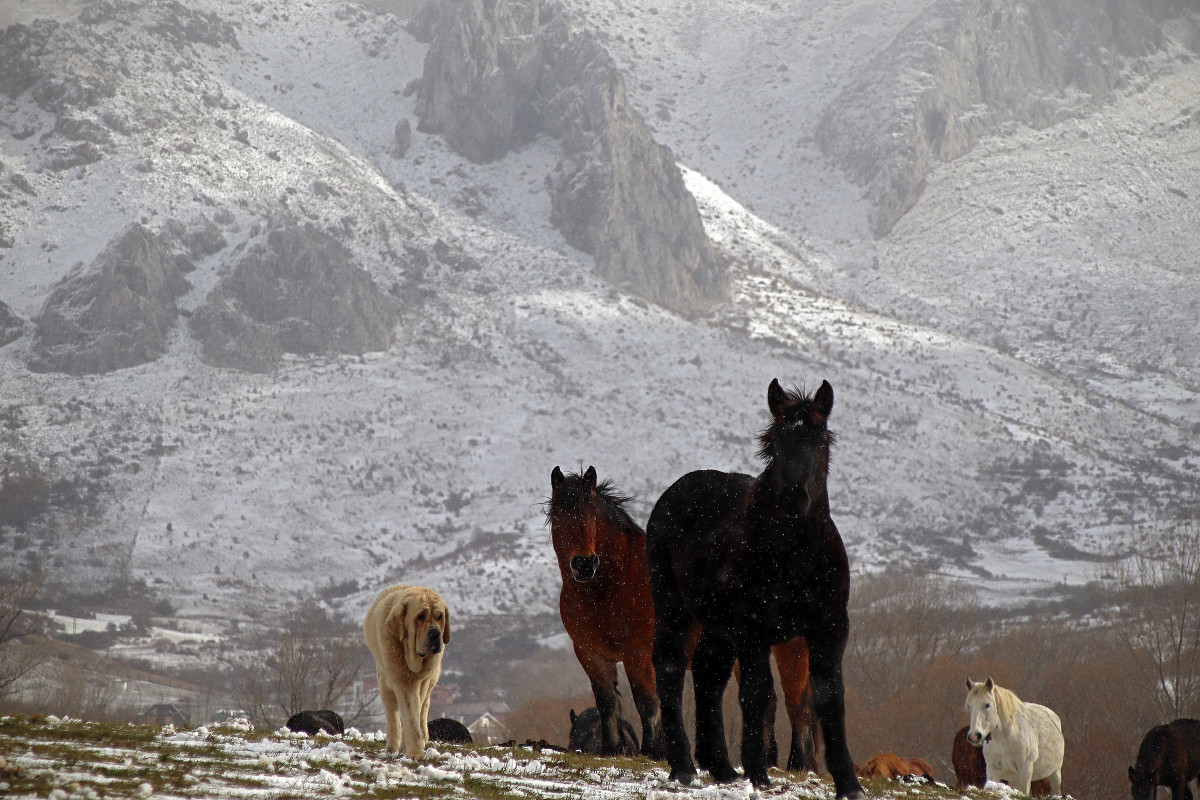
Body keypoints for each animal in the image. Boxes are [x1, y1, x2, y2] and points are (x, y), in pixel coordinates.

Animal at [364, 582, 451, 758]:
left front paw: (413, 748)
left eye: (440, 617)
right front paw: (414, 752)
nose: (435, 633)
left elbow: (415, 715)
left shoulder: (421, 682)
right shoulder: (402, 681)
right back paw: (392, 747)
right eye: (420, 616)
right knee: (392, 714)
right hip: (385, 682)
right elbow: (409, 716)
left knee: (423, 707)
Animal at [547, 470, 816, 767]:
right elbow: (607, 704)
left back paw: (799, 765)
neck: (608, 587)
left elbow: (647, 702)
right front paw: (612, 750)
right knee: (766, 701)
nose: (584, 564)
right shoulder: (591, 655)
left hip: (791, 647)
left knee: (798, 704)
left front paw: (653, 753)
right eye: (558, 514)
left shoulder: (638, 653)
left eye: (593, 513)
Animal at [648, 381, 864, 800]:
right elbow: (757, 693)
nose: (794, 499)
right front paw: (758, 772)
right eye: (777, 442)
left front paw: (849, 783)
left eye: (819, 441)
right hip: (675, 610)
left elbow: (829, 697)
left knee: (707, 675)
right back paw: (684, 767)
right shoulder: (753, 630)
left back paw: (720, 768)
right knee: (670, 668)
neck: (795, 555)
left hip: (717, 627)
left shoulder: (830, 629)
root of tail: (675, 492)